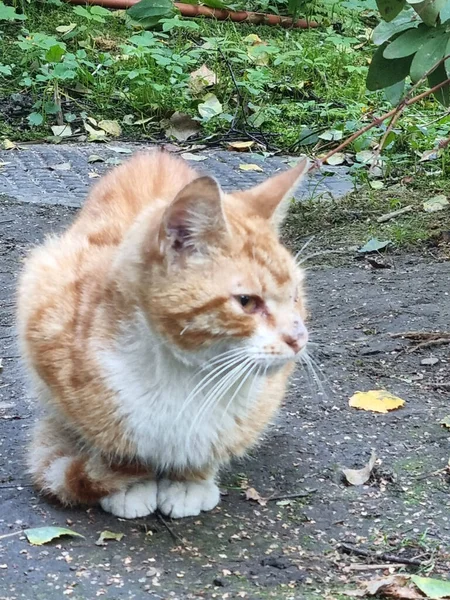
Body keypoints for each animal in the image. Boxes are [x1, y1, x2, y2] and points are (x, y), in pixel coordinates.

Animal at [17, 151, 312, 520]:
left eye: (296, 295)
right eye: (246, 302)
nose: (298, 338)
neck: (185, 375)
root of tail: (154, 154)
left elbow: (208, 446)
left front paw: (190, 480)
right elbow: (113, 443)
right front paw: (130, 482)